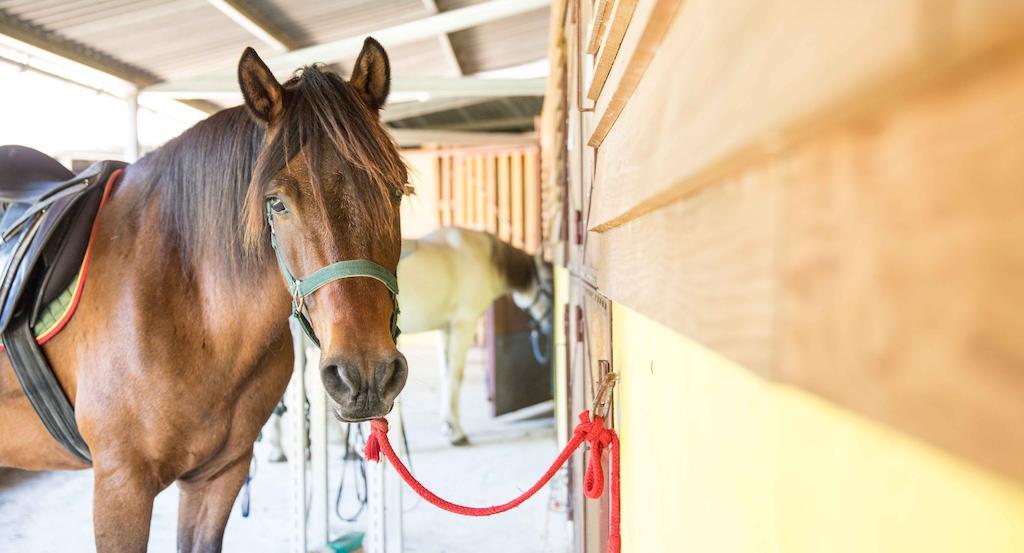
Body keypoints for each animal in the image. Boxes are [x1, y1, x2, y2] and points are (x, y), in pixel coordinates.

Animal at [0, 37, 407, 548]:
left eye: (395, 192)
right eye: (276, 203)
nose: (365, 375)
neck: (190, 307)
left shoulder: (218, 476)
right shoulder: (120, 485)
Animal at [262, 226, 552, 456]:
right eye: (549, 285)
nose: (550, 327)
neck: (482, 256)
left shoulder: (445, 329)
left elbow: (447, 375)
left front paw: (448, 425)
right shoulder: (463, 324)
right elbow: (455, 377)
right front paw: (457, 433)